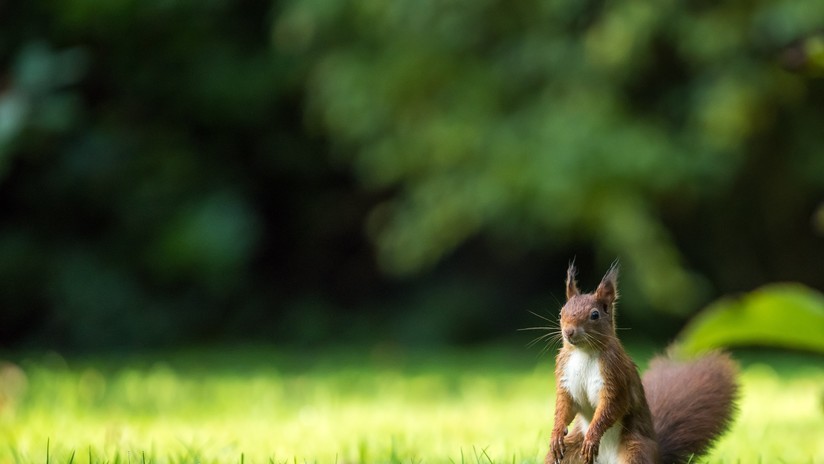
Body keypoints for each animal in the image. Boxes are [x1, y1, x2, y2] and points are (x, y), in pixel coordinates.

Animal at [547, 263, 738, 464]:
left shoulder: (615, 375)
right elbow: (564, 406)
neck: (583, 353)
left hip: (635, 450)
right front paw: (556, 434)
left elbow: (612, 406)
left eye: (595, 315)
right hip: (571, 450)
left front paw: (592, 438)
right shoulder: (565, 376)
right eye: (561, 313)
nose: (569, 332)